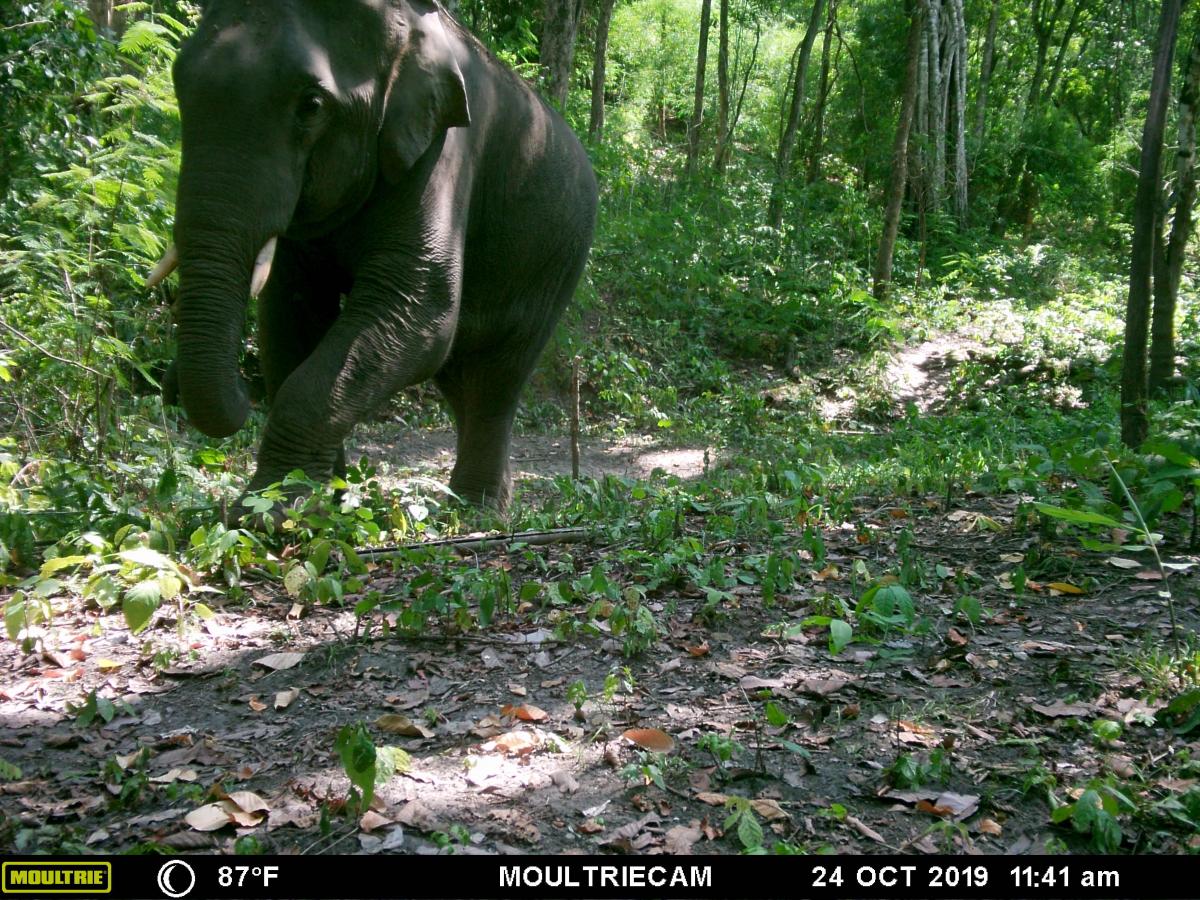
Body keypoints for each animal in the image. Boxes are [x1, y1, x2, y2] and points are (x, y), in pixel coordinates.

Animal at [147, 0, 597, 513]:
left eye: (311, 105)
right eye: (179, 79)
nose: (169, 386)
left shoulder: (443, 148)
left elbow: (420, 306)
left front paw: (270, 512)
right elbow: (290, 315)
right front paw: (320, 502)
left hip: (555, 264)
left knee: (497, 376)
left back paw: (478, 508)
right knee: (460, 376)